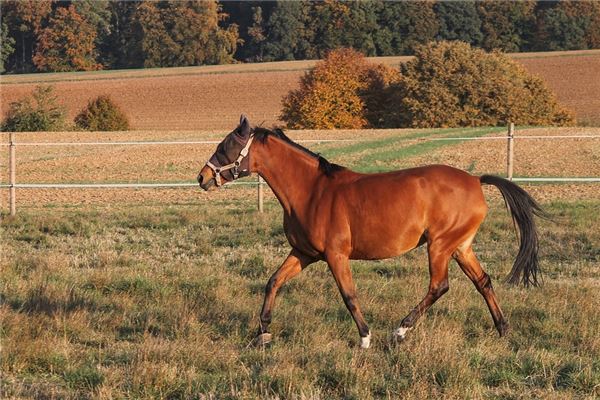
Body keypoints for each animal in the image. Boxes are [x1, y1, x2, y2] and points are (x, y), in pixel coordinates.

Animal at [199, 115, 548, 346]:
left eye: (227, 146)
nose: (202, 177)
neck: (312, 191)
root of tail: (475, 180)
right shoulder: (303, 253)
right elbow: (273, 281)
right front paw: (264, 333)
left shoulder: (335, 255)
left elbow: (349, 295)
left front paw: (365, 337)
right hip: (461, 247)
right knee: (483, 282)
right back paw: (503, 329)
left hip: (439, 246)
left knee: (439, 286)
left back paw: (400, 331)